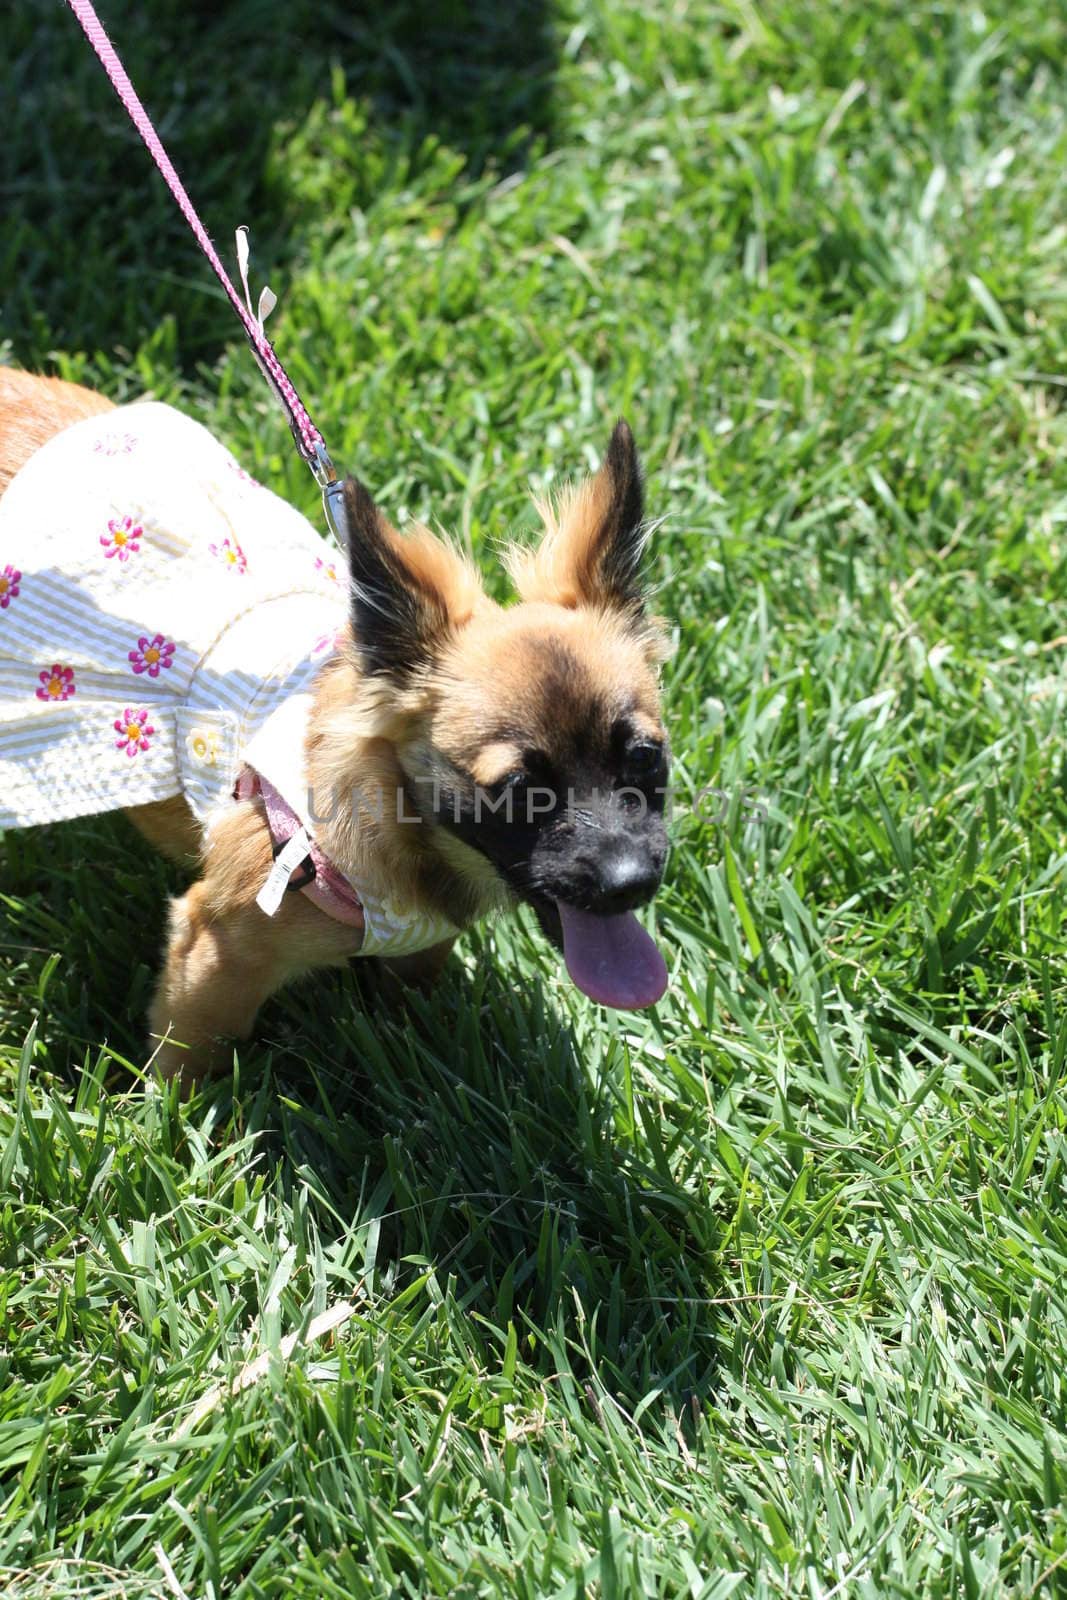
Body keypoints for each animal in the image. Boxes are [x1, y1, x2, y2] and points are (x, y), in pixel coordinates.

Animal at [0, 366, 668, 1081]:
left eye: (646, 758)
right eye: (516, 788)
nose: (632, 882)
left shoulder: (421, 946)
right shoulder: (212, 956)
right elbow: (187, 1069)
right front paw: (171, 1114)